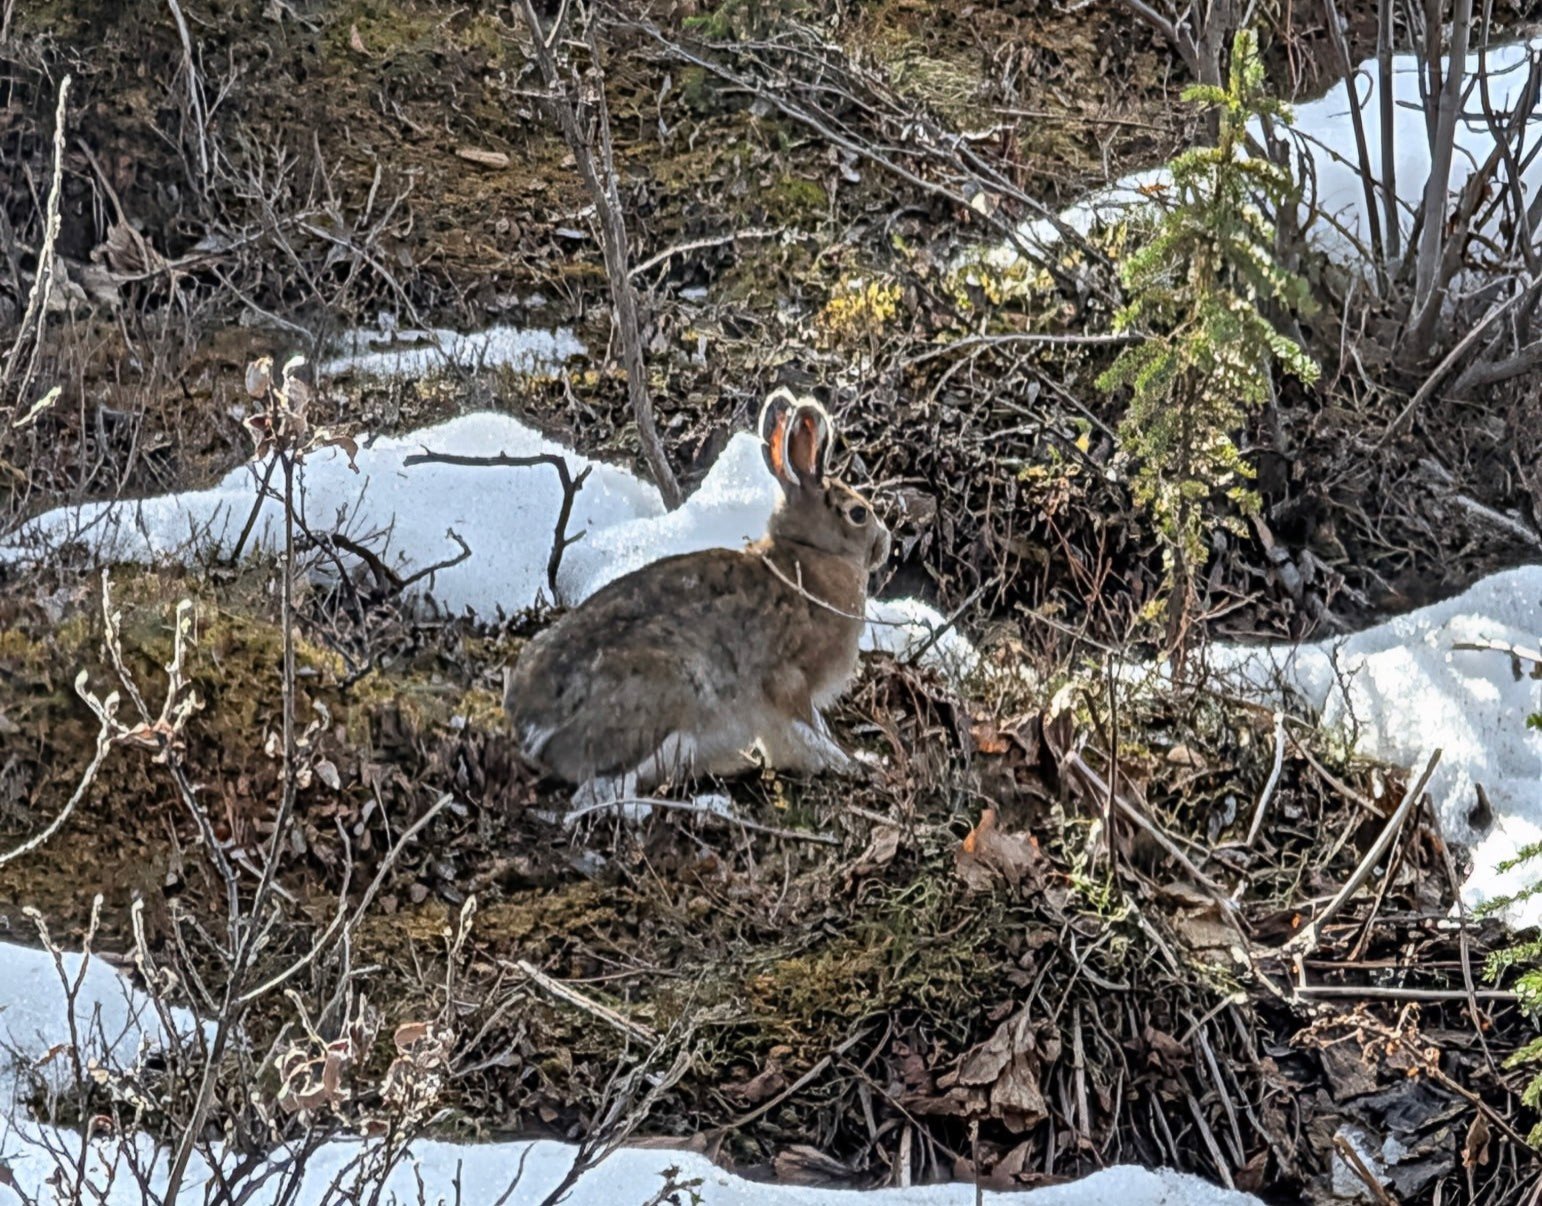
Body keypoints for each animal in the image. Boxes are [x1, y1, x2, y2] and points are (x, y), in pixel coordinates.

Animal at [504, 388, 892, 801]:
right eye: (857, 514)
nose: (884, 543)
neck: (807, 556)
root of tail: (535, 729)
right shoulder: (790, 680)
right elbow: (806, 729)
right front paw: (846, 764)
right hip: (671, 697)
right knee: (610, 784)